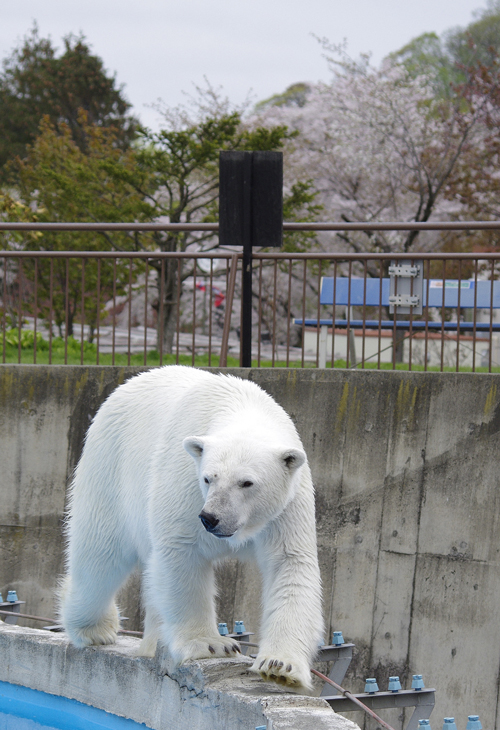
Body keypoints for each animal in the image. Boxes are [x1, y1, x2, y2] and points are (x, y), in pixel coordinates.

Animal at [59, 366, 324, 692]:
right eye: (209, 478)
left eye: (247, 482)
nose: (211, 518)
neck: (242, 406)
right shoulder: (185, 481)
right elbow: (181, 551)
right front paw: (211, 644)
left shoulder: (287, 506)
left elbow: (290, 564)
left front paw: (279, 667)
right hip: (109, 468)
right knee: (100, 556)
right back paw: (95, 628)